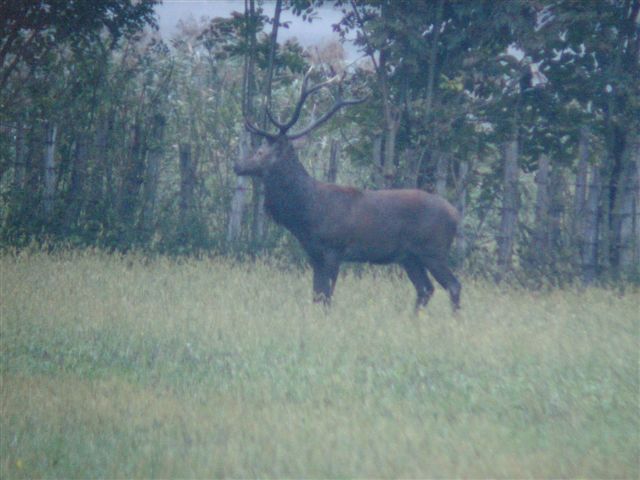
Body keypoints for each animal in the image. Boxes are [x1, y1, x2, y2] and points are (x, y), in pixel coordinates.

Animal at [235, 69, 460, 314]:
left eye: (260, 152)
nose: (238, 166)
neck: (306, 214)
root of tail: (456, 215)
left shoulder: (334, 249)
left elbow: (326, 297)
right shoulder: (313, 253)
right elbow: (316, 295)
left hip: (433, 249)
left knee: (453, 285)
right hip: (409, 256)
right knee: (425, 288)